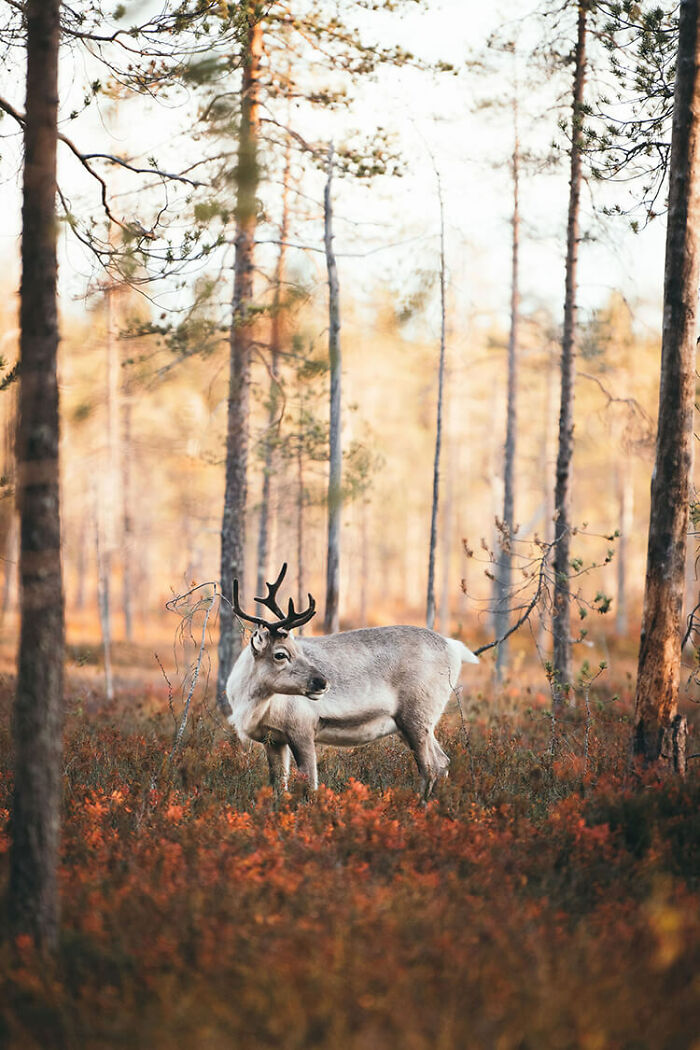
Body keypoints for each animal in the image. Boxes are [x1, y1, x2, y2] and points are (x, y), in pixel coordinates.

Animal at [225, 564, 480, 801]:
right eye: (280, 654)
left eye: (299, 650)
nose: (322, 682)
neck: (249, 703)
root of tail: (454, 647)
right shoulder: (273, 740)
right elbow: (278, 787)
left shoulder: (301, 729)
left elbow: (310, 787)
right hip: (411, 725)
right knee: (443, 762)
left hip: (417, 717)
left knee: (430, 767)